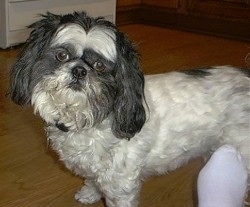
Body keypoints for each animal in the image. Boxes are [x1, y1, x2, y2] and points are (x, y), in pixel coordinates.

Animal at [10, 11, 249, 207]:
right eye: (62, 56)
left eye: (100, 66)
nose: (79, 71)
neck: (87, 119)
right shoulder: (96, 172)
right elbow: (92, 180)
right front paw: (89, 194)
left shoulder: (121, 186)